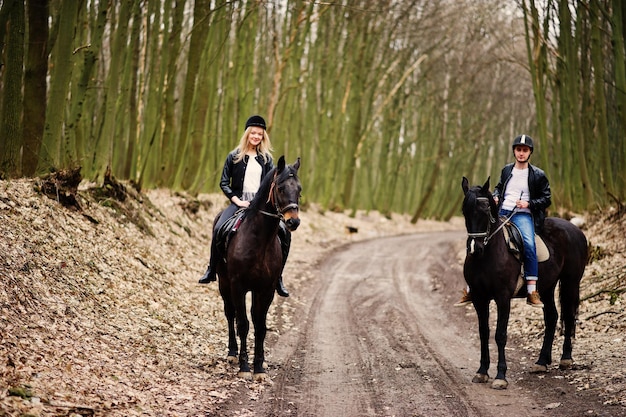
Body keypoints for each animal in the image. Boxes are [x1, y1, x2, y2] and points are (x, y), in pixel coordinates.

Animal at [216, 155, 302, 380]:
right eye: (280, 187)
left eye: (299, 189)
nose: (294, 222)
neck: (258, 240)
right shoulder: (237, 286)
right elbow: (243, 324)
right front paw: (245, 367)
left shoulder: (266, 288)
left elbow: (260, 325)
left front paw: (259, 367)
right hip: (224, 283)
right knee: (230, 314)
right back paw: (232, 353)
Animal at [458, 177, 584, 388]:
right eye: (464, 211)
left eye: (485, 210)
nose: (476, 248)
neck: (488, 255)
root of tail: (576, 230)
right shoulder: (479, 298)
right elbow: (483, 333)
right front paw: (482, 371)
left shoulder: (503, 298)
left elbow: (500, 335)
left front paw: (500, 376)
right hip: (547, 288)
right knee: (552, 317)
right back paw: (541, 362)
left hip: (570, 283)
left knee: (569, 316)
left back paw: (566, 359)